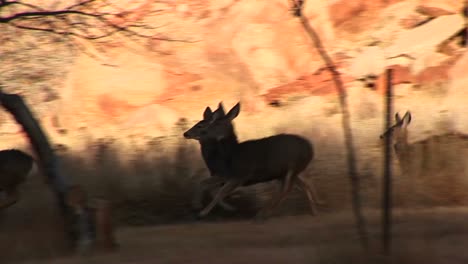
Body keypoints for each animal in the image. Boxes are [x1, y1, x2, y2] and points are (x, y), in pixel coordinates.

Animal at [185, 102, 324, 220]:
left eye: (215, 124)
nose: (186, 133)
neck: (229, 154)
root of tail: (310, 148)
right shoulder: (224, 175)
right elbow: (208, 186)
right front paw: (227, 208)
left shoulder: (239, 176)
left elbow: (218, 191)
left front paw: (201, 211)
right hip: (288, 171)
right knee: (304, 183)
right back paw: (316, 209)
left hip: (290, 168)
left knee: (287, 189)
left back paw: (263, 214)